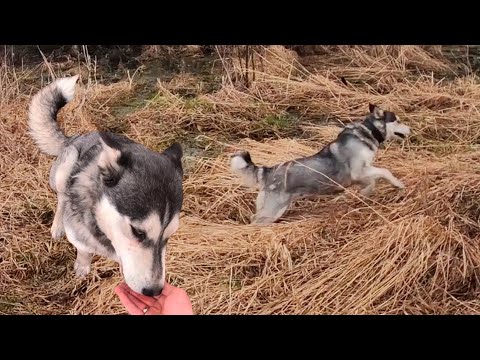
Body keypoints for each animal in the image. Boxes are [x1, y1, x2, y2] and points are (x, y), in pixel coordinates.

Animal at [28, 76, 183, 296]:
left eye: (170, 235)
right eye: (138, 232)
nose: (154, 291)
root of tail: (76, 136)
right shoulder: (79, 234)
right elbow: (84, 250)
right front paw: (82, 267)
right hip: (66, 165)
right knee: (61, 197)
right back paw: (58, 225)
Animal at [231, 102, 410, 224]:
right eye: (398, 120)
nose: (411, 129)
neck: (368, 132)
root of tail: (268, 171)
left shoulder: (358, 176)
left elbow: (372, 183)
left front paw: (364, 194)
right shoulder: (358, 171)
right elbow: (385, 171)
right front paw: (398, 184)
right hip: (271, 211)